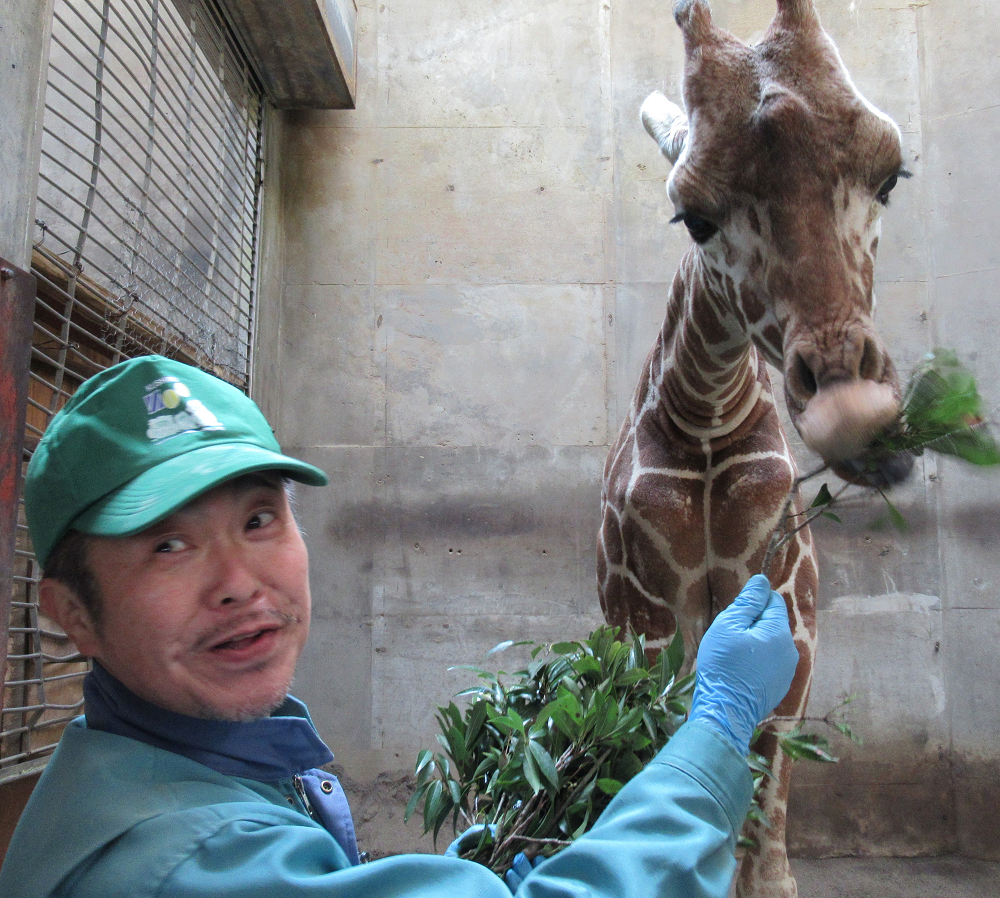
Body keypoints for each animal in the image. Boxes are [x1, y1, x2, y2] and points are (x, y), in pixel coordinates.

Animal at [592, 1, 916, 896]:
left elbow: (765, 805)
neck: (705, 419)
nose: (854, 414)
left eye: (890, 177)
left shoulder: (790, 612)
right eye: (694, 217)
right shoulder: (649, 616)